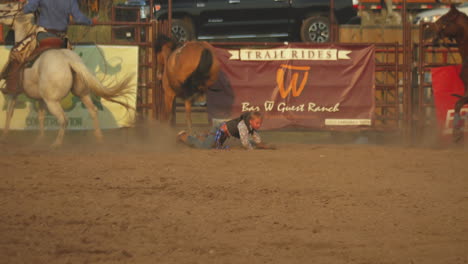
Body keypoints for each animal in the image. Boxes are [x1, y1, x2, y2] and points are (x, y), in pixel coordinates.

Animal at [0, 2, 135, 146]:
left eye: (9, 6)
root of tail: (69, 60)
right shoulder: (40, 98)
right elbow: (41, 116)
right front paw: (40, 138)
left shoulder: (14, 92)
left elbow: (9, 112)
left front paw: (5, 136)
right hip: (81, 92)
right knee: (93, 110)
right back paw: (98, 137)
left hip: (52, 101)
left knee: (63, 119)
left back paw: (57, 143)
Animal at [432, 3, 468, 142]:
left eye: (444, 20)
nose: (431, 31)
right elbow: (457, 105)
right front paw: (456, 132)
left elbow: (458, 104)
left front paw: (457, 132)